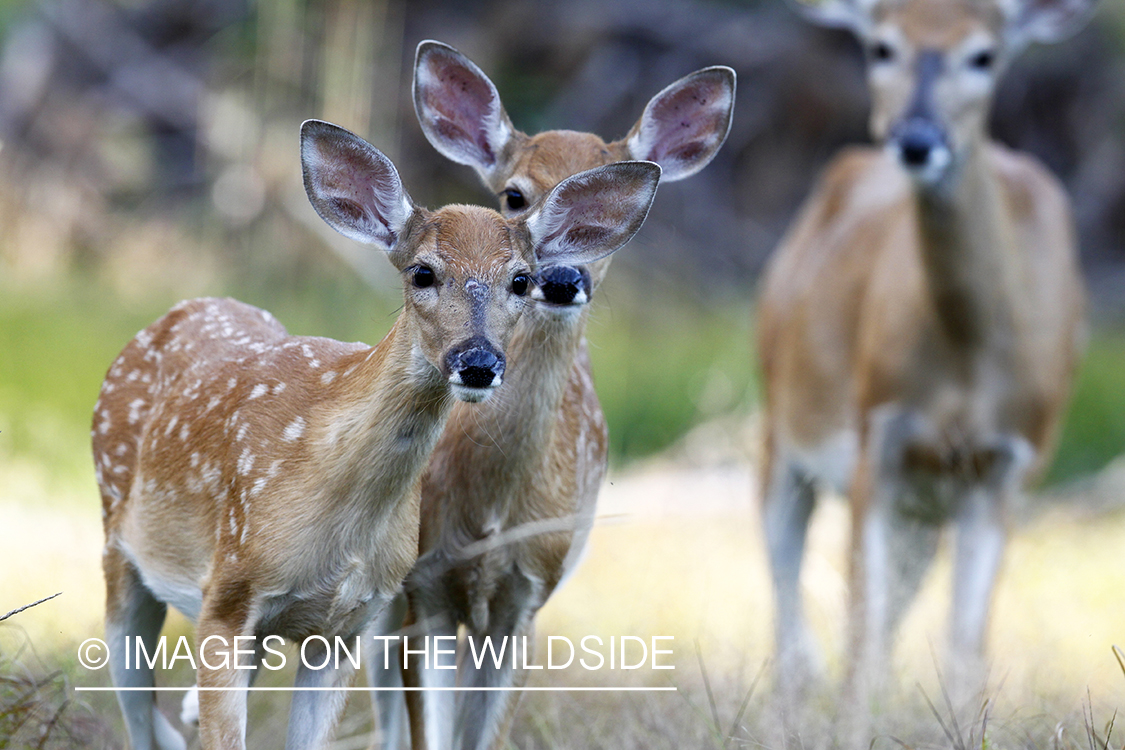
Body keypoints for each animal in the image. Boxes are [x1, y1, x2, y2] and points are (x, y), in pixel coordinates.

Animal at [96, 118, 661, 750]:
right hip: (120, 551)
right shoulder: (228, 598)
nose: (478, 362)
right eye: (423, 272)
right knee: (136, 708)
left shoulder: (346, 623)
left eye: (520, 280)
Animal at [364, 39, 738, 750]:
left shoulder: (530, 591)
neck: (491, 508)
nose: (562, 279)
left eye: (615, 219)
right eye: (514, 196)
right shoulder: (424, 586)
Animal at [760, 0, 1093, 706]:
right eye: (881, 46)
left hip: (925, 504)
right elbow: (860, 632)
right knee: (786, 579)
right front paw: (853, 719)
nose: (916, 139)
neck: (969, 363)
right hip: (780, 412)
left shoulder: (1008, 463)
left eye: (985, 55)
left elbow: (966, 650)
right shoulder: (876, 436)